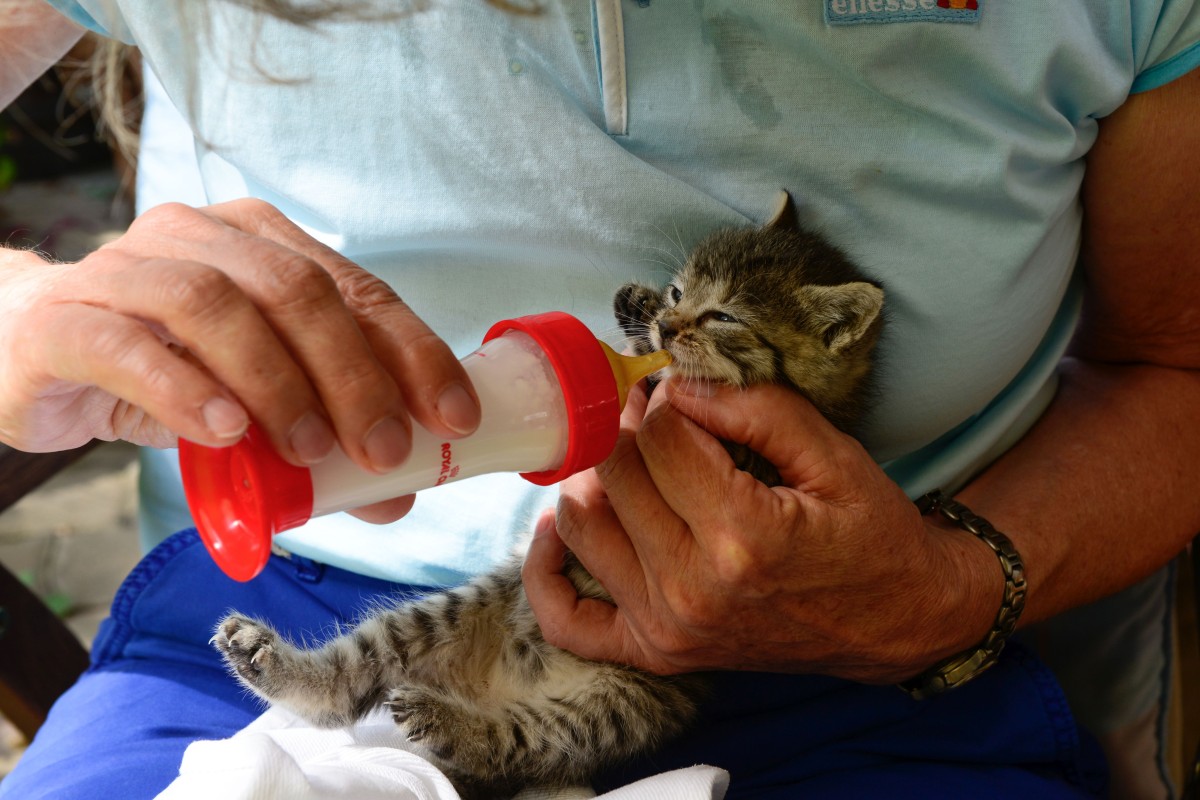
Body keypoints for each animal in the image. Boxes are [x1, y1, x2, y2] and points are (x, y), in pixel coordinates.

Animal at [213, 191, 883, 800]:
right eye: (678, 293)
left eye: (724, 317)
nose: (667, 323)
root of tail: (490, 684)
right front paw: (636, 316)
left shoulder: (753, 459)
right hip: (458, 609)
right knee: (349, 685)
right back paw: (269, 662)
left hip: (617, 708)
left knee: (517, 746)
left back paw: (447, 720)